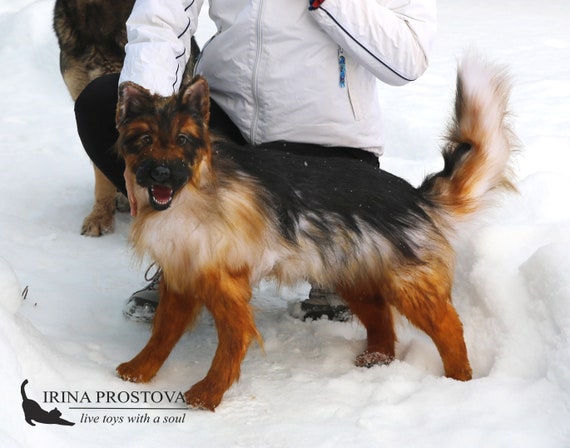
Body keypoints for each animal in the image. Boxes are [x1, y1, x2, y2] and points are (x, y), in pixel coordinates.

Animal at [114, 54, 516, 412]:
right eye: (145, 140)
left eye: (183, 140)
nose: (161, 174)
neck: (195, 193)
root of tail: (415, 196)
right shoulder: (182, 278)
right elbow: (162, 333)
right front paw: (139, 371)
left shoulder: (225, 286)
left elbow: (232, 342)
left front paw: (208, 394)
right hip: (355, 277)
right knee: (382, 320)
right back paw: (376, 358)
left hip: (410, 288)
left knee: (449, 328)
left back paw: (458, 382)